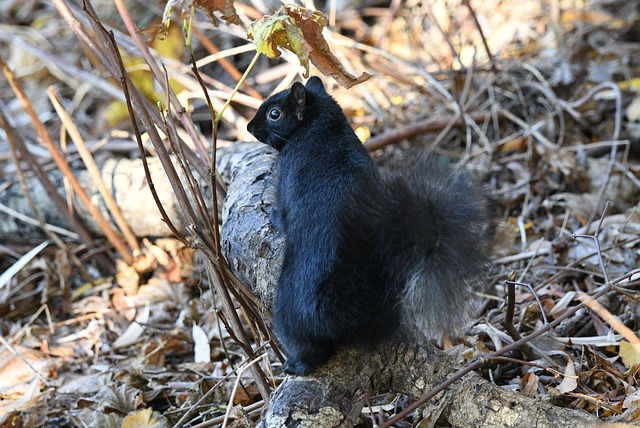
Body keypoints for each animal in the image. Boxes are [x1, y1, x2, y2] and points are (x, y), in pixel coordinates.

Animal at [248, 76, 492, 374]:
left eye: (275, 114)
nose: (250, 127)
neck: (324, 129)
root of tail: (338, 308)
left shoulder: (288, 175)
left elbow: (283, 217)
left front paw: (271, 213)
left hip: (289, 313)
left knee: (308, 348)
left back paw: (295, 364)